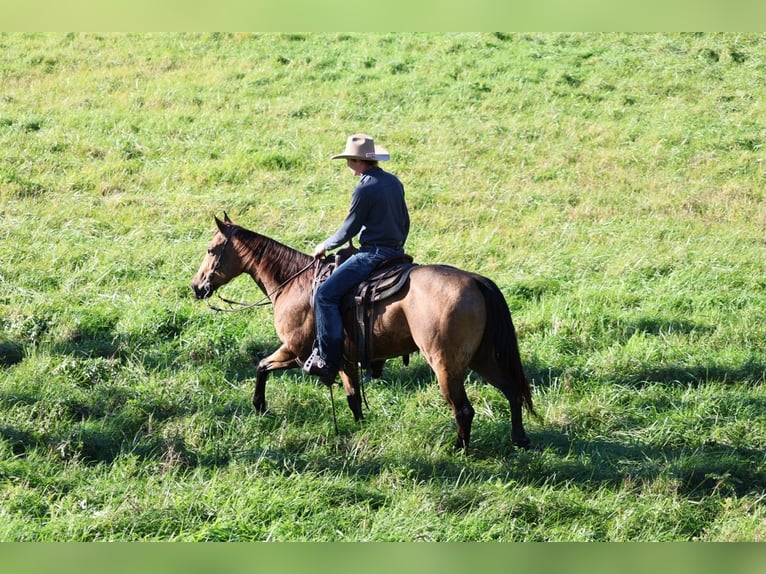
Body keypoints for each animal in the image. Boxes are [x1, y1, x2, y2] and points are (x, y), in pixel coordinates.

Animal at [191, 214, 535, 450]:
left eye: (211, 249)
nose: (197, 286)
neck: (293, 282)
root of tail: (475, 281)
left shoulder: (296, 351)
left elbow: (261, 366)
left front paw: (259, 406)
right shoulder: (343, 359)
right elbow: (353, 397)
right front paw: (359, 426)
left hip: (446, 366)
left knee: (464, 409)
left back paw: (460, 449)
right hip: (482, 357)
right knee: (511, 390)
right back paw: (519, 440)